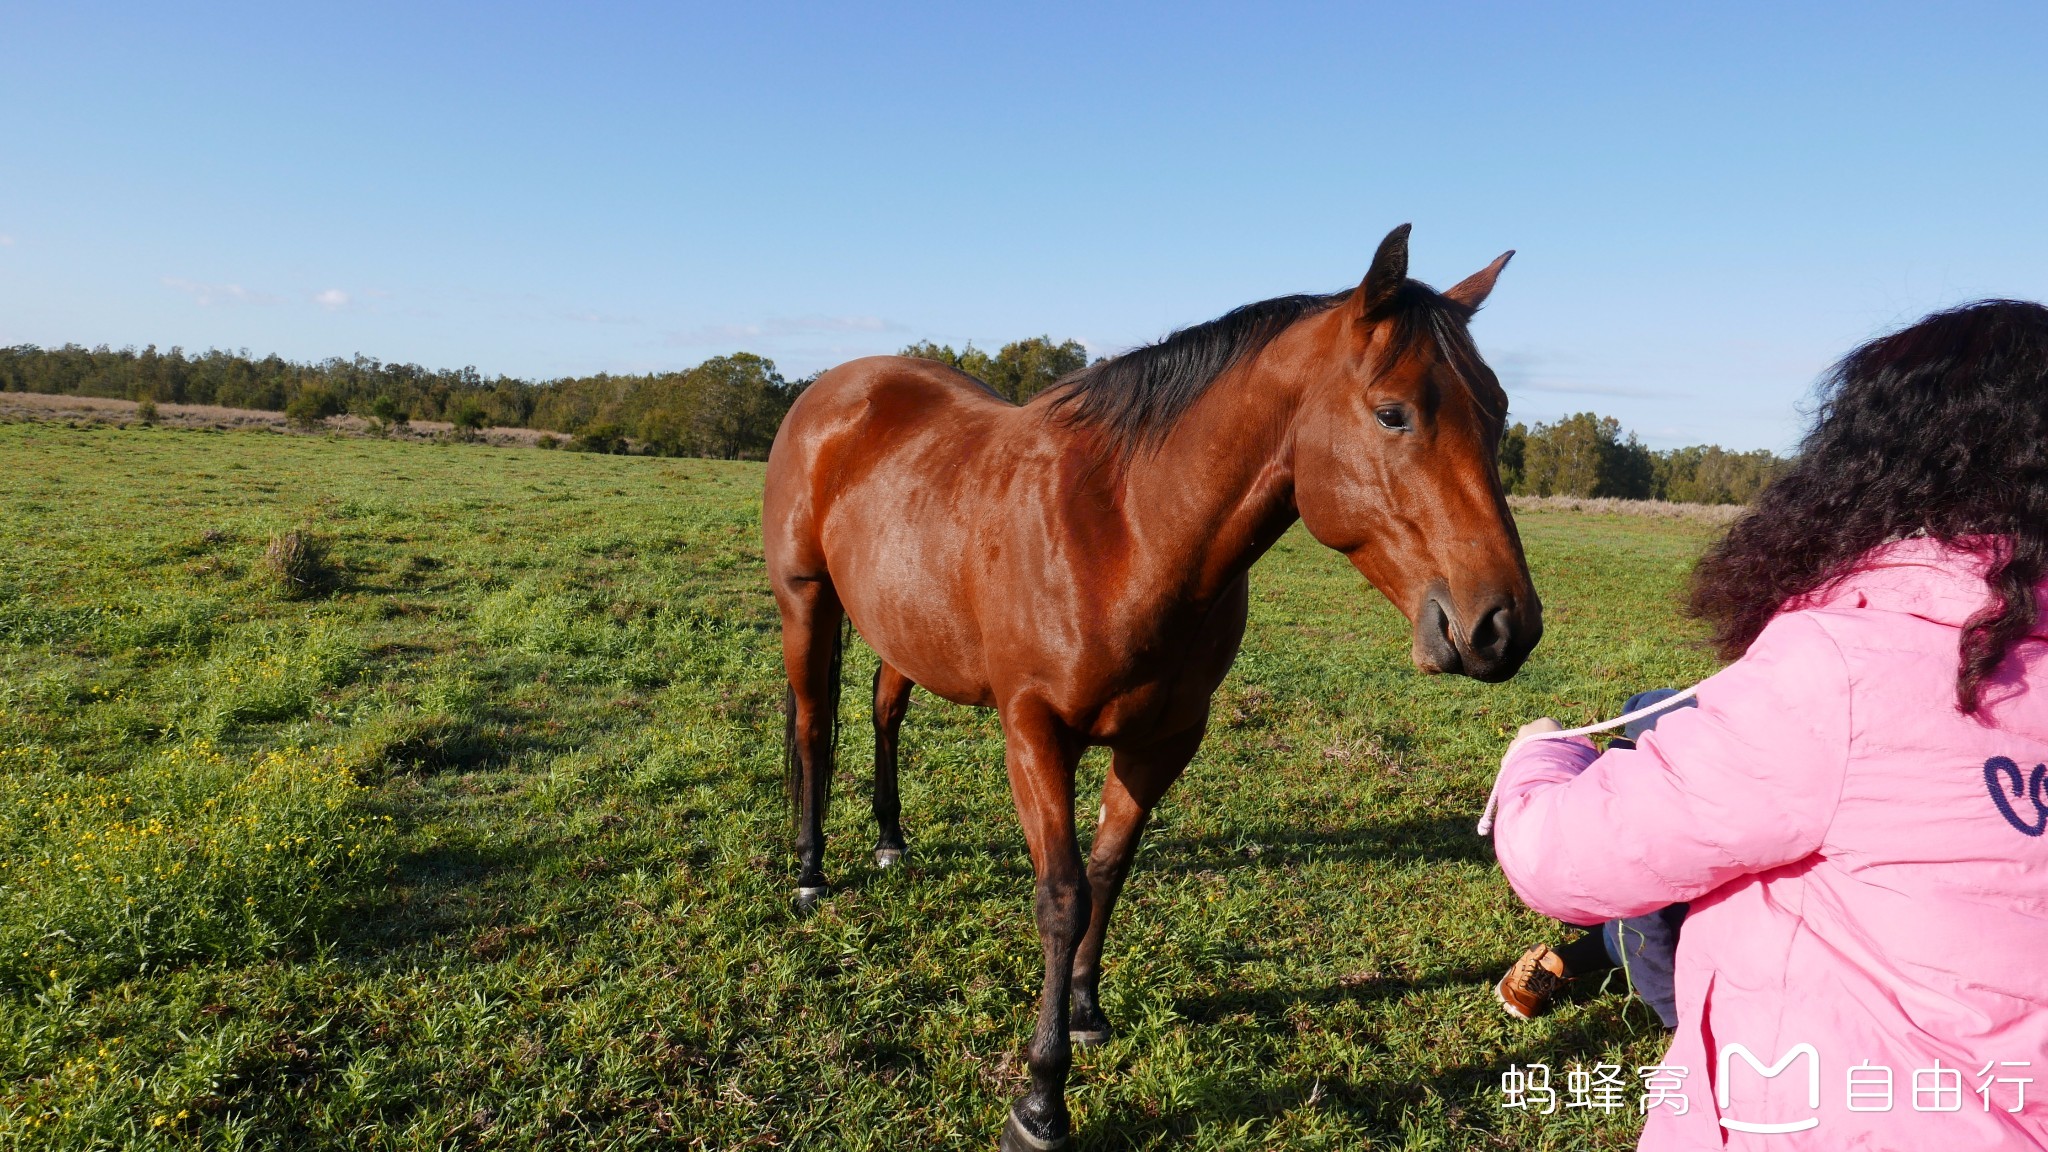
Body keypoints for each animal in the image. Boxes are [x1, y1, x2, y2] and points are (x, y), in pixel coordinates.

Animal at [765, 222, 1540, 1139]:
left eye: (1497, 409)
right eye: (1394, 413)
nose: (1503, 627)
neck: (1123, 530)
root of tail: (837, 388)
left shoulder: (1163, 738)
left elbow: (1108, 872)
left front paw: (1086, 1011)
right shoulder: (1034, 730)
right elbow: (1061, 895)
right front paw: (1041, 1100)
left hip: (903, 624)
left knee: (886, 714)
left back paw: (889, 839)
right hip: (806, 602)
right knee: (815, 727)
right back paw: (811, 872)